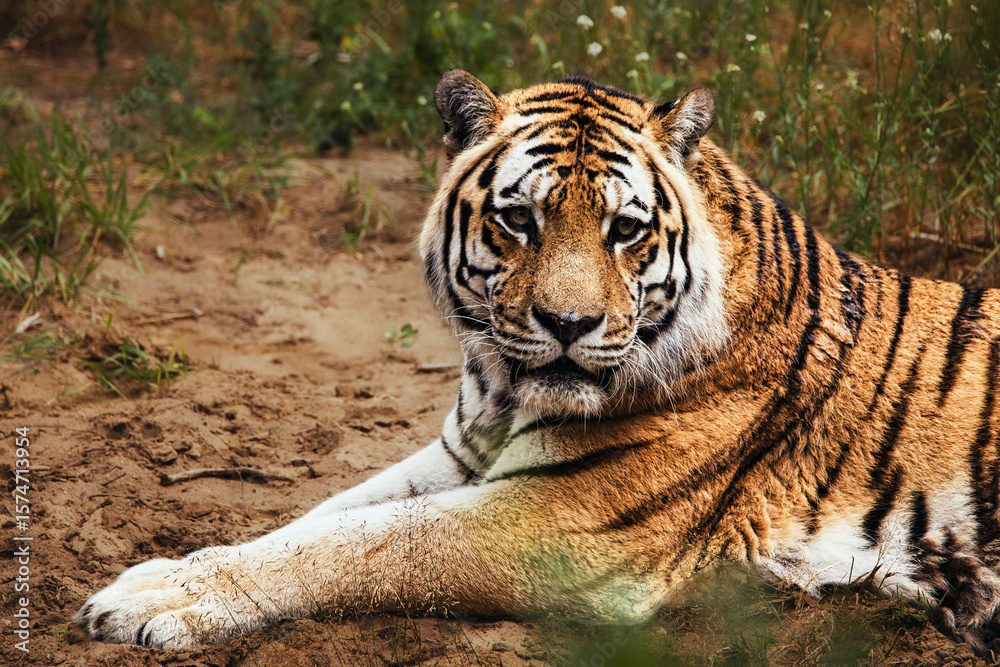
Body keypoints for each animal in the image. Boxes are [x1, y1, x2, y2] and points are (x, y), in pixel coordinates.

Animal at [77, 69, 1000, 656]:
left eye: (625, 230)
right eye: (519, 219)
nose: (568, 322)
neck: (504, 391)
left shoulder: (567, 519)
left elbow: (370, 546)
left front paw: (154, 599)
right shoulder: (459, 453)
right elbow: (320, 517)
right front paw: (169, 572)